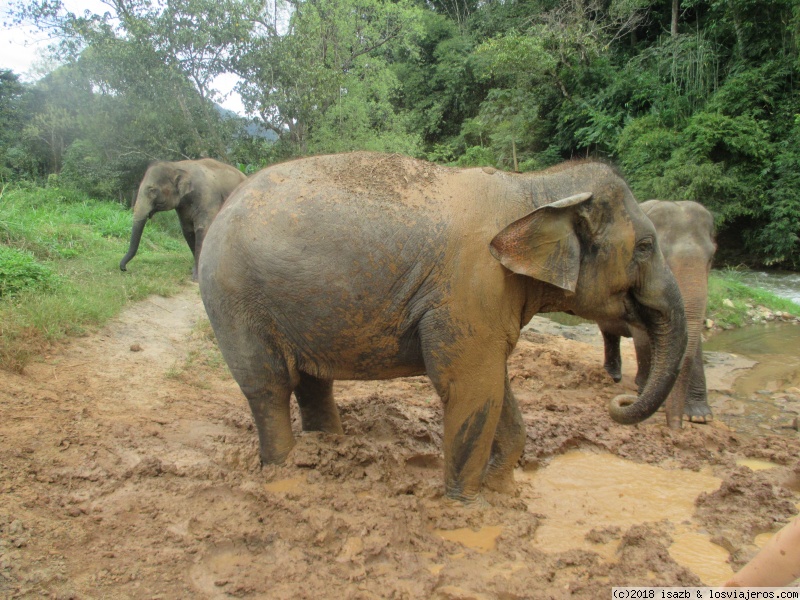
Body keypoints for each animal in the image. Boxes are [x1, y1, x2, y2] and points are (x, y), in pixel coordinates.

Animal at [119, 159, 247, 282]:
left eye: (152, 190)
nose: (124, 268)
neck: (177, 165)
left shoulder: (208, 198)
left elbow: (202, 230)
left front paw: (197, 278)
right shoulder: (182, 207)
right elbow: (188, 231)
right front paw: (194, 272)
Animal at [198, 152, 688, 504]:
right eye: (645, 247)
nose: (620, 397)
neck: (532, 186)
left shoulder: (488, 303)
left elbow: (494, 386)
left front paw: (503, 492)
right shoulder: (472, 290)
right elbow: (470, 388)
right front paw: (466, 509)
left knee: (313, 382)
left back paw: (327, 453)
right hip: (235, 299)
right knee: (269, 386)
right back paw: (282, 470)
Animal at [596, 199, 716, 428]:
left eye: (711, 259)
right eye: (664, 257)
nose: (675, 429)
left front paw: (699, 416)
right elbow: (642, 336)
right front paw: (651, 400)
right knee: (609, 333)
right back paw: (613, 377)